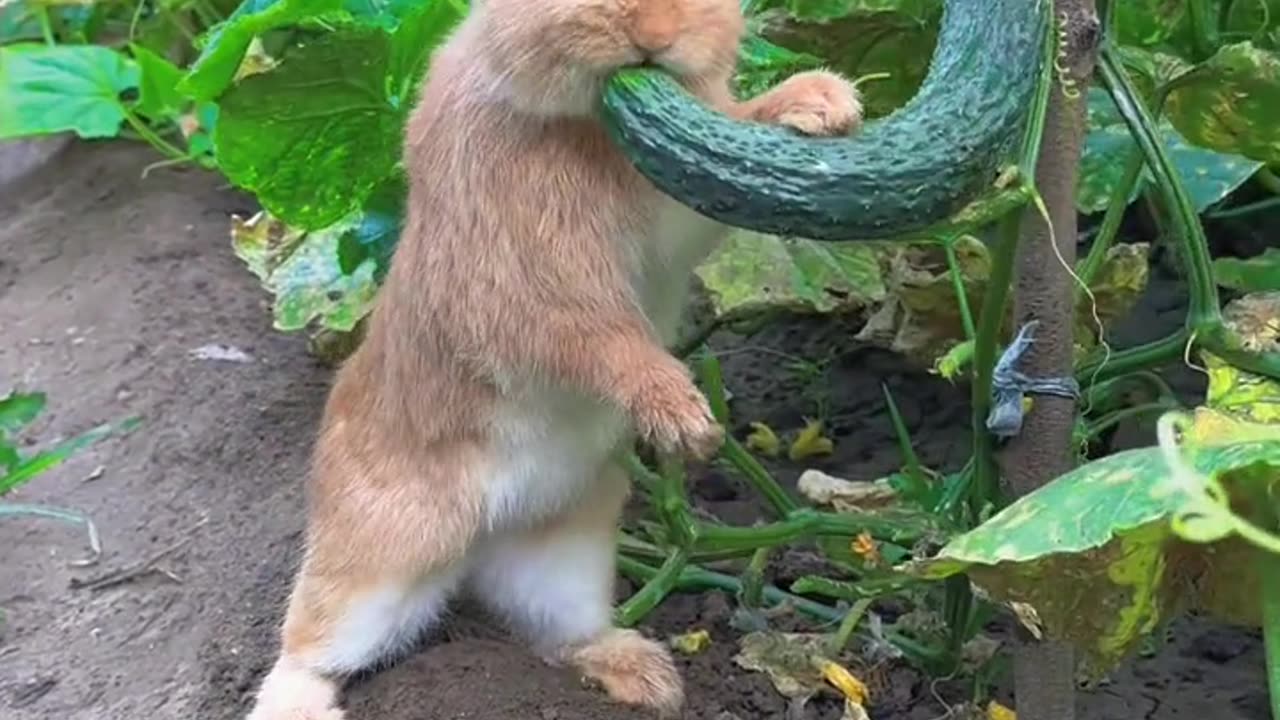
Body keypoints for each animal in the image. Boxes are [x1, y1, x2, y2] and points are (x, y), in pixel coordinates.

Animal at [240, 1, 860, 717]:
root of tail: (480, 542)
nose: (655, 37)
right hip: (380, 560)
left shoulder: (674, 211)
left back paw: (643, 675)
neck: (583, 121)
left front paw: (822, 103)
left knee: (555, 634)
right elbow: (605, 343)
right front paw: (686, 423)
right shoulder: (533, 283)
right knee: (310, 649)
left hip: (565, 556)